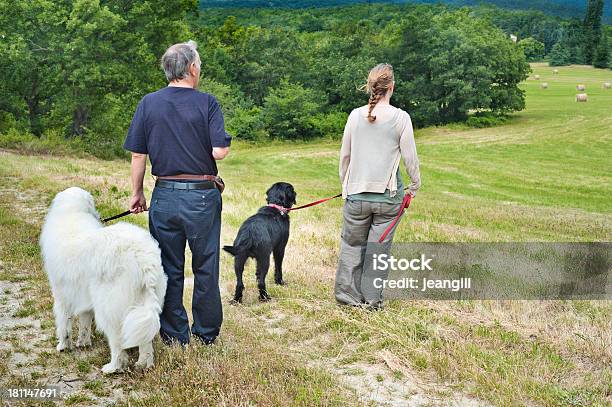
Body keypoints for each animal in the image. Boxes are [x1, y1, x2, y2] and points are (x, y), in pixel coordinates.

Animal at [40, 187, 166, 372]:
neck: (72, 212)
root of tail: (143, 259)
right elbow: (84, 322)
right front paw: (83, 343)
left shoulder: (62, 295)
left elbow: (64, 323)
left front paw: (63, 346)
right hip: (144, 302)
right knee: (145, 341)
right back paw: (144, 364)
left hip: (109, 309)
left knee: (117, 343)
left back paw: (113, 367)